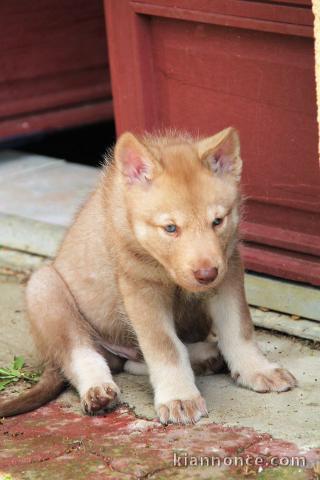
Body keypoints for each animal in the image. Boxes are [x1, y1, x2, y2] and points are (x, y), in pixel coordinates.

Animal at [0, 127, 296, 424]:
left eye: (217, 221)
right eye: (170, 228)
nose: (206, 274)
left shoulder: (228, 271)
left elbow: (239, 328)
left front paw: (257, 370)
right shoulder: (142, 290)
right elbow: (165, 347)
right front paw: (179, 397)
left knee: (134, 361)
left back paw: (208, 356)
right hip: (44, 287)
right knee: (80, 353)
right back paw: (97, 389)